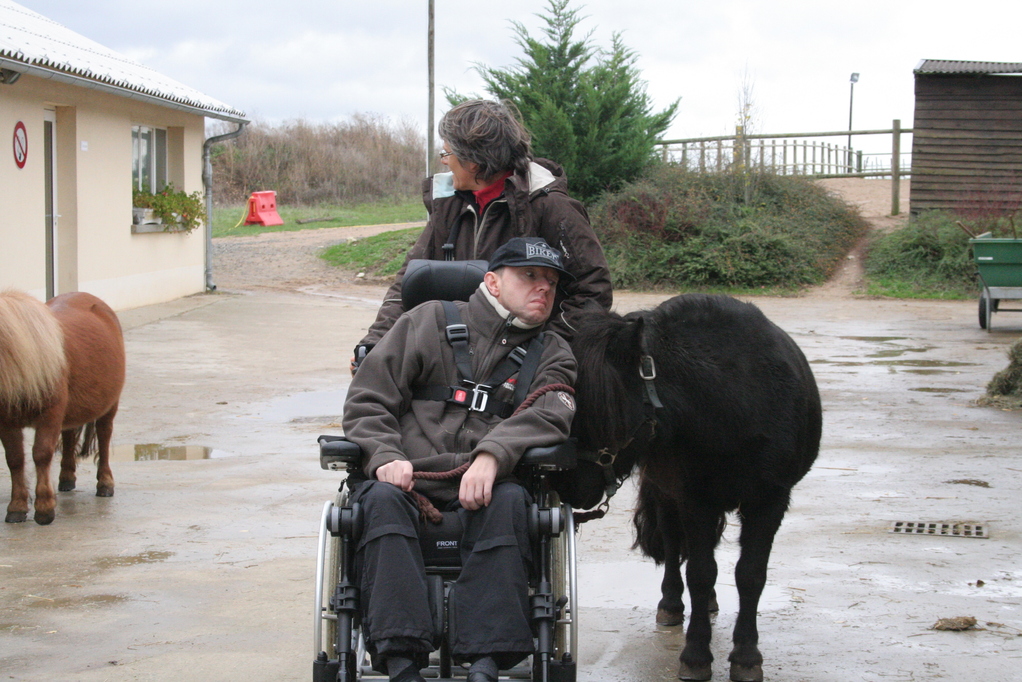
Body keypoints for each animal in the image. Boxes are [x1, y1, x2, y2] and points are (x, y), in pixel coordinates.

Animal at [0, 290, 124, 527]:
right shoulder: (8, 421)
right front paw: (17, 507)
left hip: (110, 405)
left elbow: (41, 454)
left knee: (104, 436)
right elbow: (15, 459)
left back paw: (105, 484)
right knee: (69, 436)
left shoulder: (50, 415)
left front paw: (44, 509)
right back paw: (66, 478)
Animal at [560, 294, 821, 682]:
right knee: (672, 544)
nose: (568, 484)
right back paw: (671, 603)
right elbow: (699, 572)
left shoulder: (769, 501)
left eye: (602, 408)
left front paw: (746, 655)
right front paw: (697, 654)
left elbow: (751, 574)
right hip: (667, 494)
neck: (734, 402)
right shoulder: (697, 500)